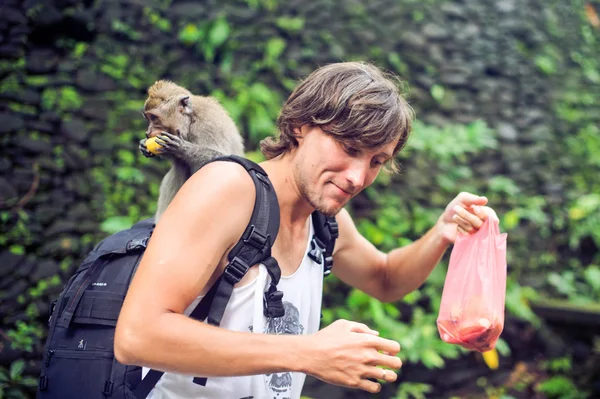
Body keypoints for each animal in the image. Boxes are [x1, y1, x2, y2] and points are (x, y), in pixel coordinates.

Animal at [139, 80, 245, 222]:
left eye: (154, 118)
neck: (189, 121)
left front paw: (181, 147)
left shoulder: (207, 125)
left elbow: (222, 158)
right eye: (148, 118)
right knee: (180, 167)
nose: (148, 132)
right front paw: (143, 146)